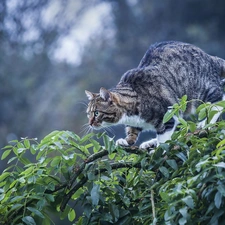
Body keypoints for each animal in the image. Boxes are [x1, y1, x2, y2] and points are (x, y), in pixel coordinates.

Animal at [85, 41, 225, 149]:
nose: (90, 123)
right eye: (88, 114)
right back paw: (150, 143)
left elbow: (164, 137)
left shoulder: (169, 114)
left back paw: (206, 123)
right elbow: (132, 131)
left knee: (218, 100)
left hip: (202, 90)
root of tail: (211, 57)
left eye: (96, 113)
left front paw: (159, 149)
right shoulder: (135, 123)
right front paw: (127, 141)